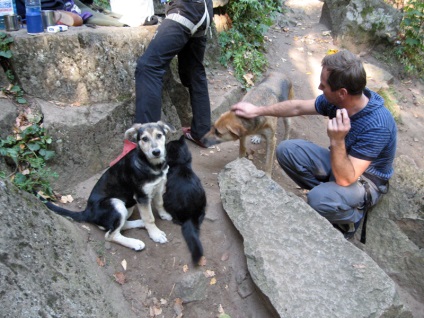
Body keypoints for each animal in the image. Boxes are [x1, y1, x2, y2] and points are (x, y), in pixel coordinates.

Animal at [44, 121, 175, 251]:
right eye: (144, 139)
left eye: (159, 135)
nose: (156, 152)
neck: (153, 165)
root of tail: (87, 212)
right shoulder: (142, 196)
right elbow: (149, 218)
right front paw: (155, 234)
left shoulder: (158, 187)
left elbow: (160, 203)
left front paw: (164, 215)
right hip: (115, 203)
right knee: (110, 235)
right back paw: (135, 243)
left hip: (128, 206)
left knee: (119, 226)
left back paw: (139, 223)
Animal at [163, 136, 206, 264]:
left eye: (167, 145)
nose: (165, 142)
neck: (182, 165)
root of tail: (190, 216)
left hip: (166, 198)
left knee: (177, 220)